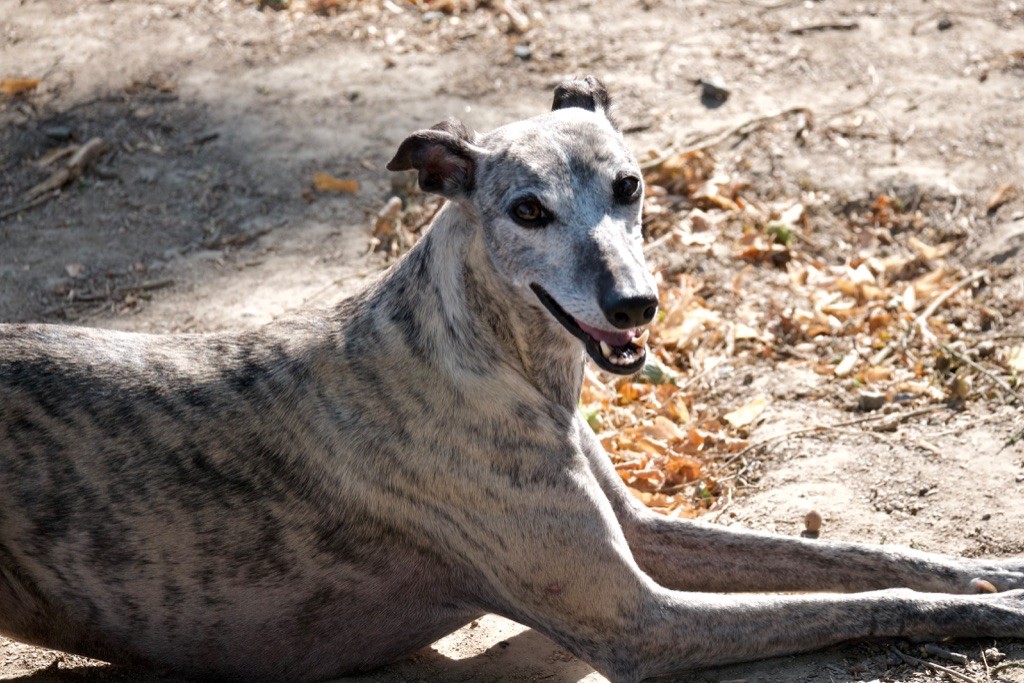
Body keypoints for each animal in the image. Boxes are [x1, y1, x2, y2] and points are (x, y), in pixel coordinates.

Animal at [2, 76, 1024, 683]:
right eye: (527, 209)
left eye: (629, 185)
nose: (636, 305)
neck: (487, 356)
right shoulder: (639, 619)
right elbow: (863, 599)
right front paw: (996, 608)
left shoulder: (643, 532)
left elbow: (868, 553)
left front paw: (996, 570)